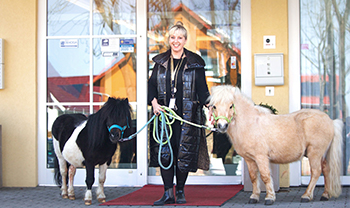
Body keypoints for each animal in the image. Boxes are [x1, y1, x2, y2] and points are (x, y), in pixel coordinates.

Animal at [209, 85, 344, 206]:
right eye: (214, 106)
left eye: (231, 105)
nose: (222, 126)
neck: (250, 124)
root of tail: (330, 121)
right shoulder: (249, 159)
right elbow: (253, 177)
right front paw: (254, 197)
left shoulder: (261, 157)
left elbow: (265, 176)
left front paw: (270, 198)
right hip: (321, 154)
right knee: (326, 170)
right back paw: (325, 195)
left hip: (314, 153)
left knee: (316, 172)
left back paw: (306, 196)